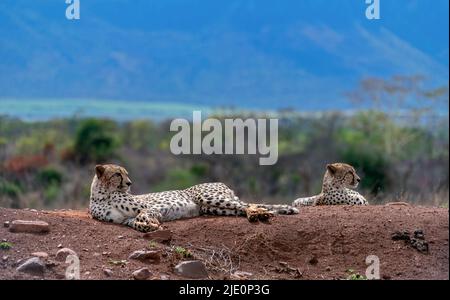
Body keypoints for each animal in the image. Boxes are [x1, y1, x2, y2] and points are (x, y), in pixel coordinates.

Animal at [88, 164, 298, 232]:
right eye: (117, 174)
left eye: (126, 173)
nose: (130, 183)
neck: (103, 195)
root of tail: (221, 183)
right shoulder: (126, 220)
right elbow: (137, 223)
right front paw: (150, 226)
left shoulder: (149, 207)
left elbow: (143, 215)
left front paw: (152, 223)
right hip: (213, 208)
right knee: (241, 208)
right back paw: (263, 213)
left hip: (208, 197)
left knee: (248, 204)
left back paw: (258, 213)